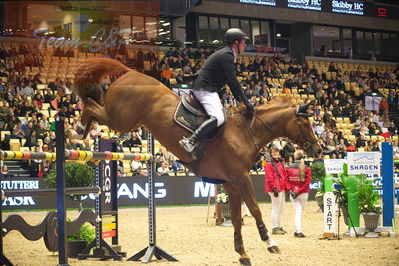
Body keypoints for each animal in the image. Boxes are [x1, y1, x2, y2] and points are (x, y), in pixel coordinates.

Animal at [73, 57, 324, 264]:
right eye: (305, 123)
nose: (319, 149)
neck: (245, 132)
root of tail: (130, 71)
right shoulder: (241, 178)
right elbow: (255, 210)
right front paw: (270, 243)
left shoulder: (231, 183)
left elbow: (236, 217)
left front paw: (242, 254)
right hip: (122, 120)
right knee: (92, 104)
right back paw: (79, 128)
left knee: (93, 105)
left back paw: (82, 129)